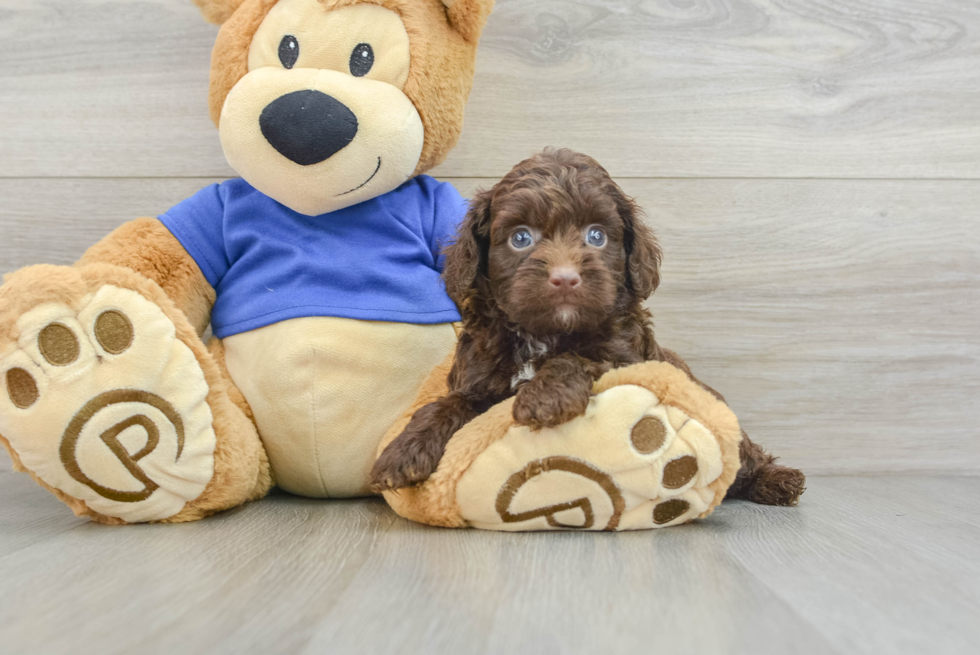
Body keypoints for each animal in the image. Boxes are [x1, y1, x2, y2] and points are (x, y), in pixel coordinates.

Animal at [372, 150, 808, 508]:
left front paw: (544, 397)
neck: (542, 334)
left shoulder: (624, 359)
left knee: (745, 459)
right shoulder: (476, 381)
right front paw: (402, 452)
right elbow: (444, 405)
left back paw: (779, 481)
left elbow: (578, 356)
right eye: (520, 237)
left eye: (596, 235)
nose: (565, 278)